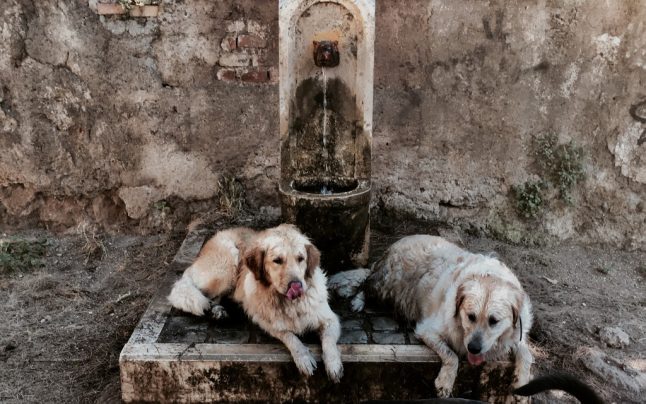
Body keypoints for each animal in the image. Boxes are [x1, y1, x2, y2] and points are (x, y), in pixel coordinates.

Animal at [170, 224, 346, 382]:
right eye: (277, 260)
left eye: (301, 259)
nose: (296, 285)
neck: (289, 303)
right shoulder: (268, 323)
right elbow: (291, 337)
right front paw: (303, 358)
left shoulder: (330, 319)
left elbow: (329, 342)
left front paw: (334, 365)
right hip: (225, 269)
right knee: (191, 290)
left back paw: (217, 311)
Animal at [332, 235, 536, 396]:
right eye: (471, 316)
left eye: (494, 321)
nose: (474, 348)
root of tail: (394, 245)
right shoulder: (427, 330)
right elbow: (451, 355)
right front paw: (445, 382)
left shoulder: (515, 335)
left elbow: (527, 354)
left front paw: (522, 381)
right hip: (386, 285)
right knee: (365, 285)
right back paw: (358, 301)